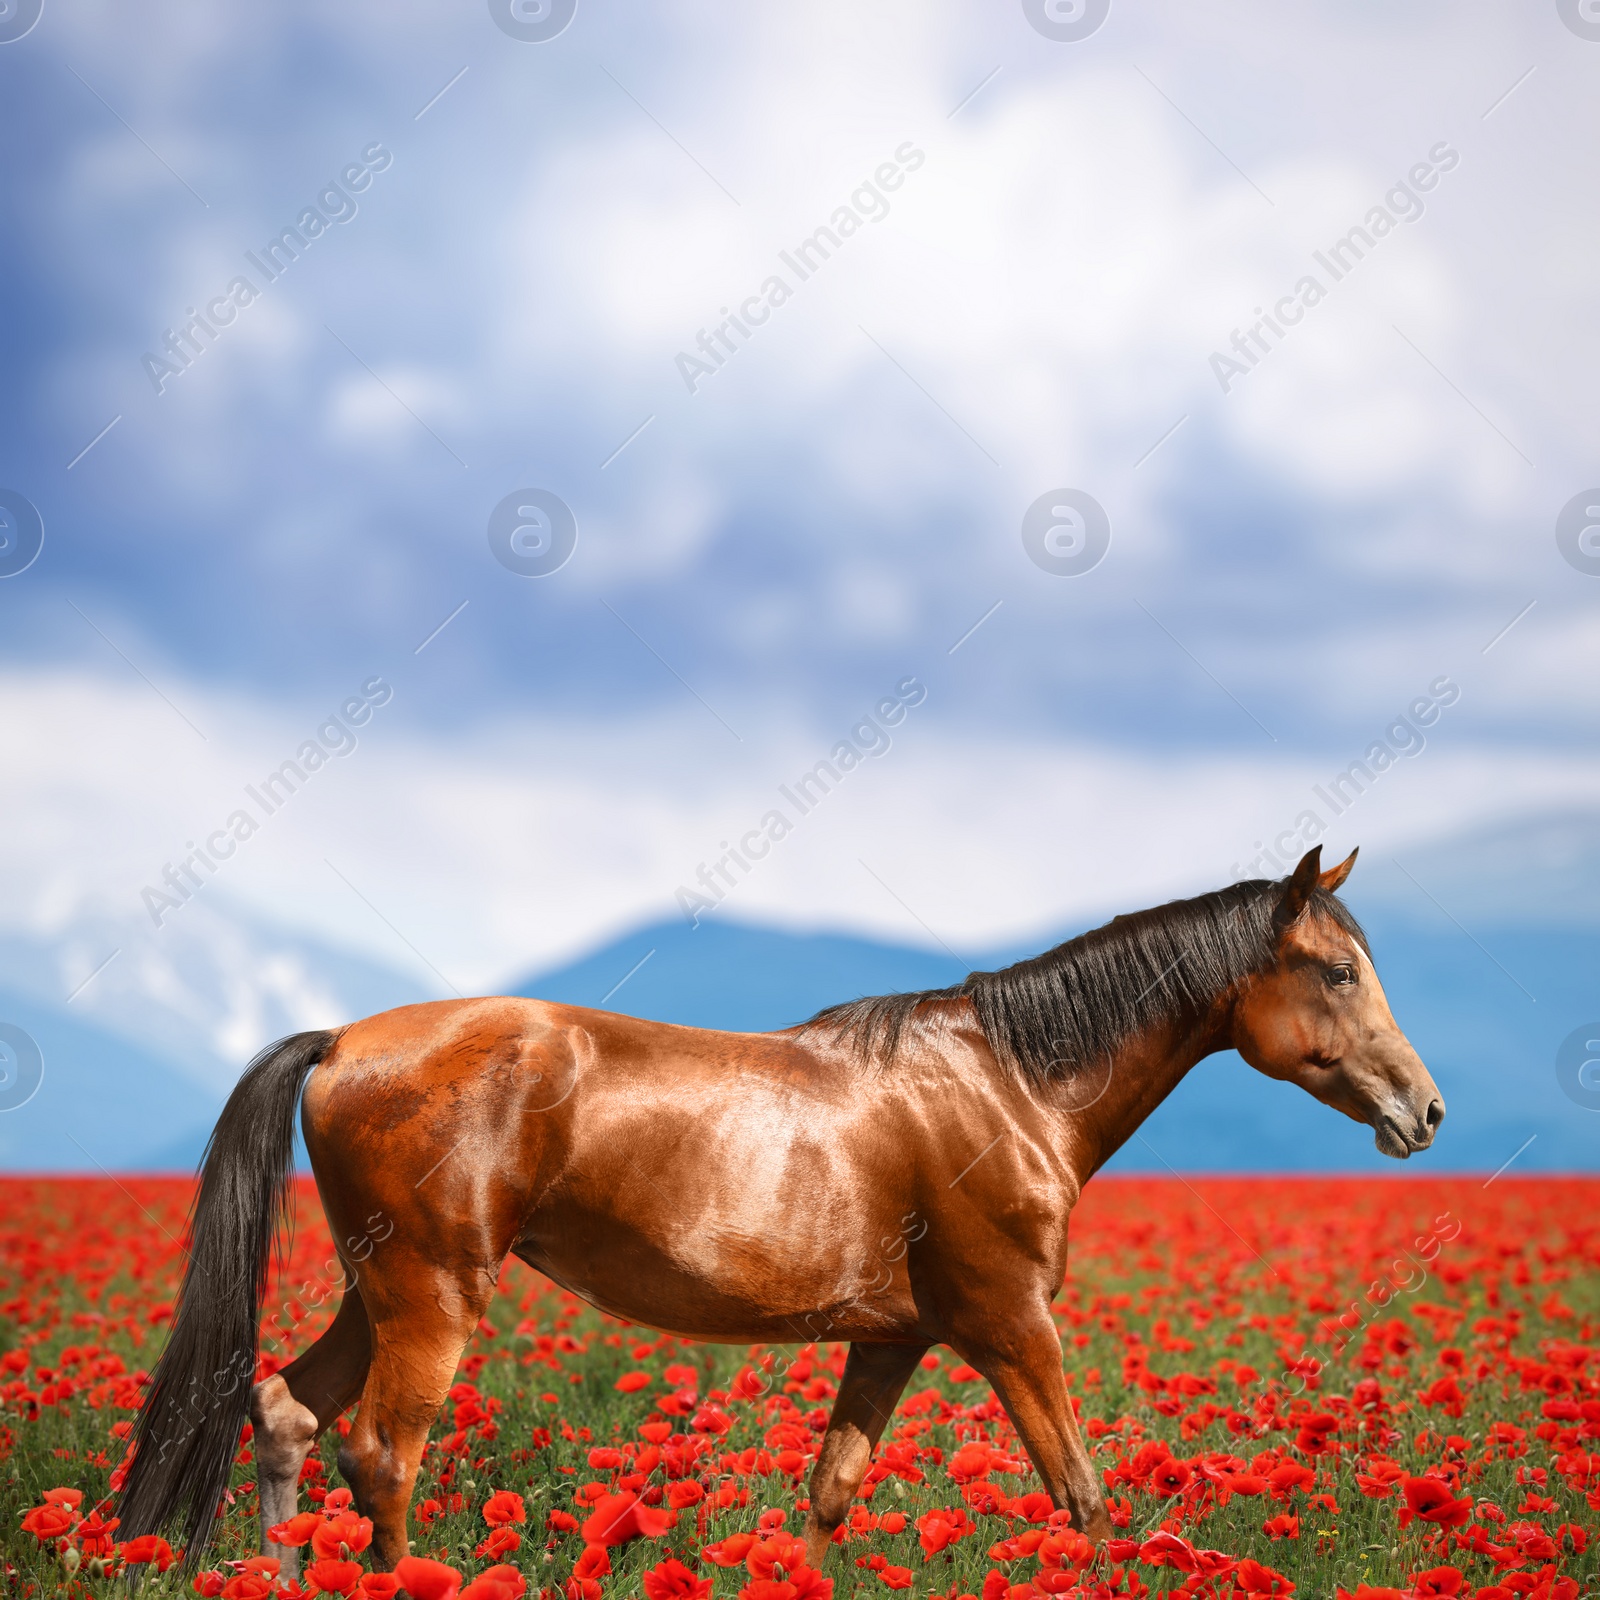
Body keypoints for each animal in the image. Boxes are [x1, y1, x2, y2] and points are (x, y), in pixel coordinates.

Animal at [121, 844, 1452, 1568]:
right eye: (1336, 970)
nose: (1425, 1109)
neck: (1012, 1083)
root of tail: (342, 1038)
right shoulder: (1013, 1328)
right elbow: (1081, 1493)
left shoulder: (891, 1339)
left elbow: (828, 1493)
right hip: (432, 1300)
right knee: (379, 1456)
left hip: (380, 1288)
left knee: (286, 1412)